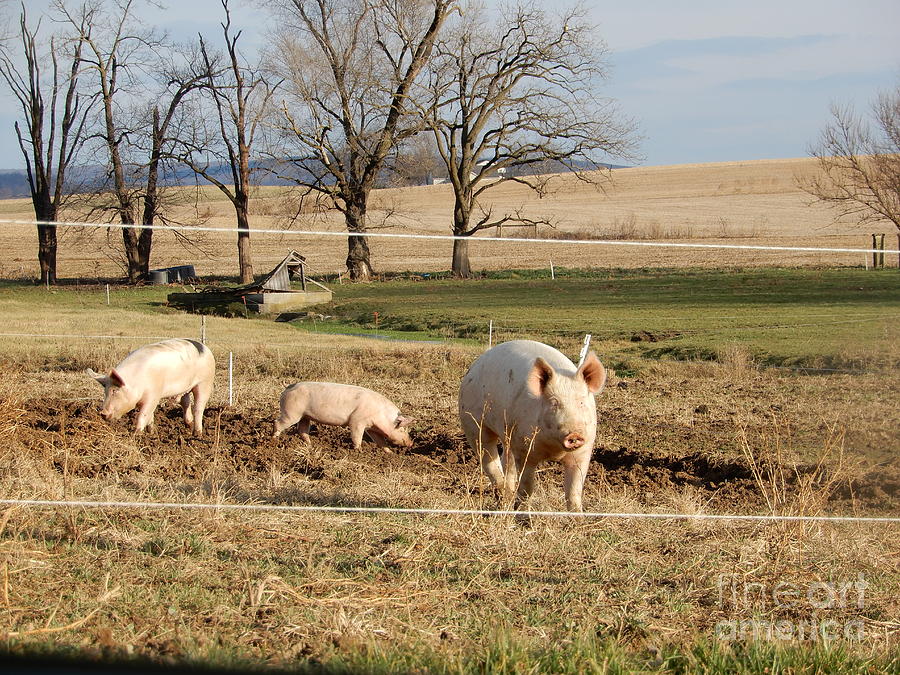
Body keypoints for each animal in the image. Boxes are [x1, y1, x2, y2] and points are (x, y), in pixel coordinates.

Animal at [86, 336, 216, 436]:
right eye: (105, 391)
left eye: (115, 391)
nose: (102, 413)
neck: (136, 381)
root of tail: (205, 347)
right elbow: (150, 415)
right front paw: (151, 432)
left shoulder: (154, 395)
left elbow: (143, 414)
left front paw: (136, 434)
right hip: (185, 387)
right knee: (185, 402)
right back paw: (188, 424)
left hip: (205, 382)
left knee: (198, 407)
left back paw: (197, 434)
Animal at [274, 382, 414, 452]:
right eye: (402, 428)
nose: (411, 443)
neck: (381, 415)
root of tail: (288, 387)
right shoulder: (357, 421)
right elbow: (356, 437)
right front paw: (359, 451)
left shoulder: (372, 428)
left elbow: (380, 442)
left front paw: (390, 453)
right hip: (291, 412)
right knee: (277, 422)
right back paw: (274, 440)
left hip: (304, 416)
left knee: (302, 430)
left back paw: (310, 445)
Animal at [460, 340, 608, 510]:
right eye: (554, 403)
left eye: (581, 402)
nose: (574, 434)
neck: (554, 450)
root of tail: (475, 366)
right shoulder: (525, 450)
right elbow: (527, 487)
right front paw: (522, 513)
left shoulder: (583, 452)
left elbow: (574, 491)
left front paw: (578, 517)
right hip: (473, 424)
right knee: (489, 460)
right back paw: (504, 501)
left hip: (508, 436)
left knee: (507, 462)